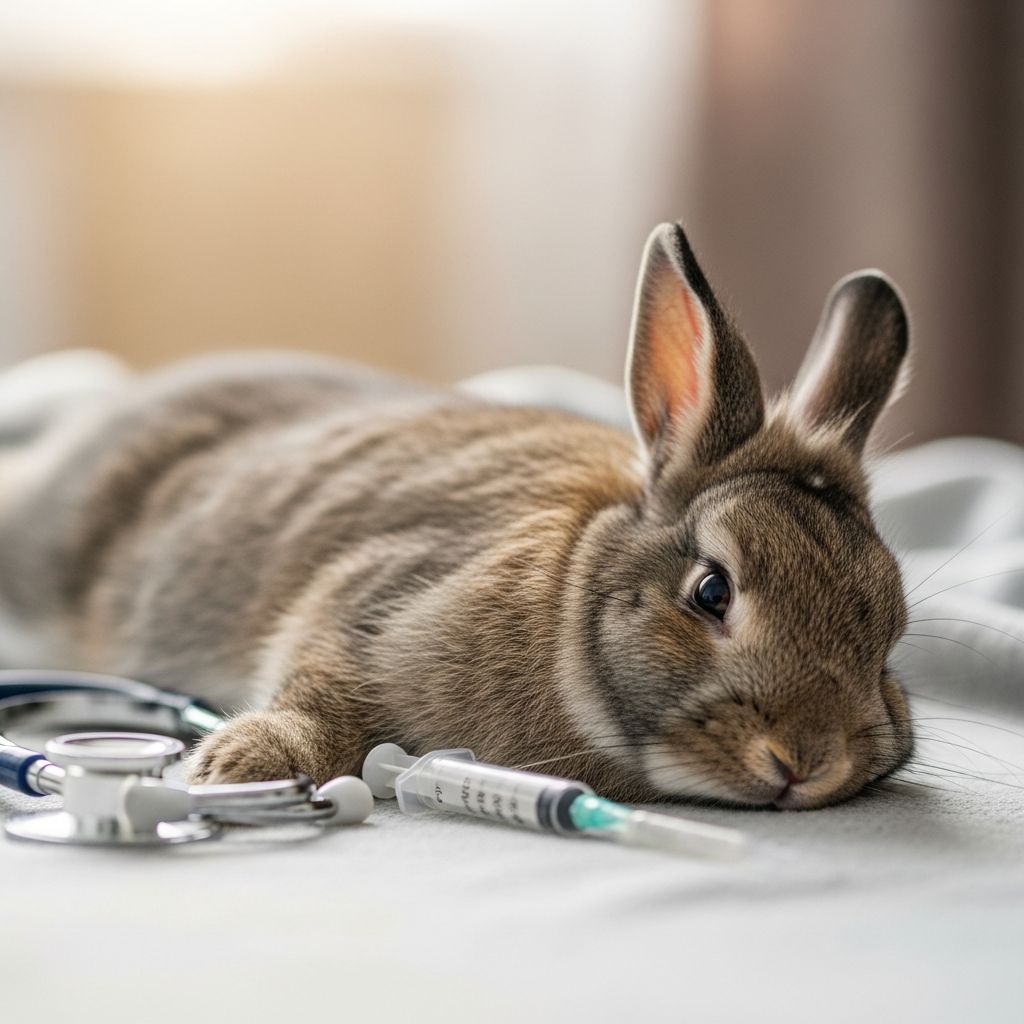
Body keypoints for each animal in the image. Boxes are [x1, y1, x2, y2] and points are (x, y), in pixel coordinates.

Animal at [0, 222, 912, 809]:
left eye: (889, 638)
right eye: (712, 592)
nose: (808, 762)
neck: (568, 606)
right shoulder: (364, 608)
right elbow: (320, 689)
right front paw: (245, 764)